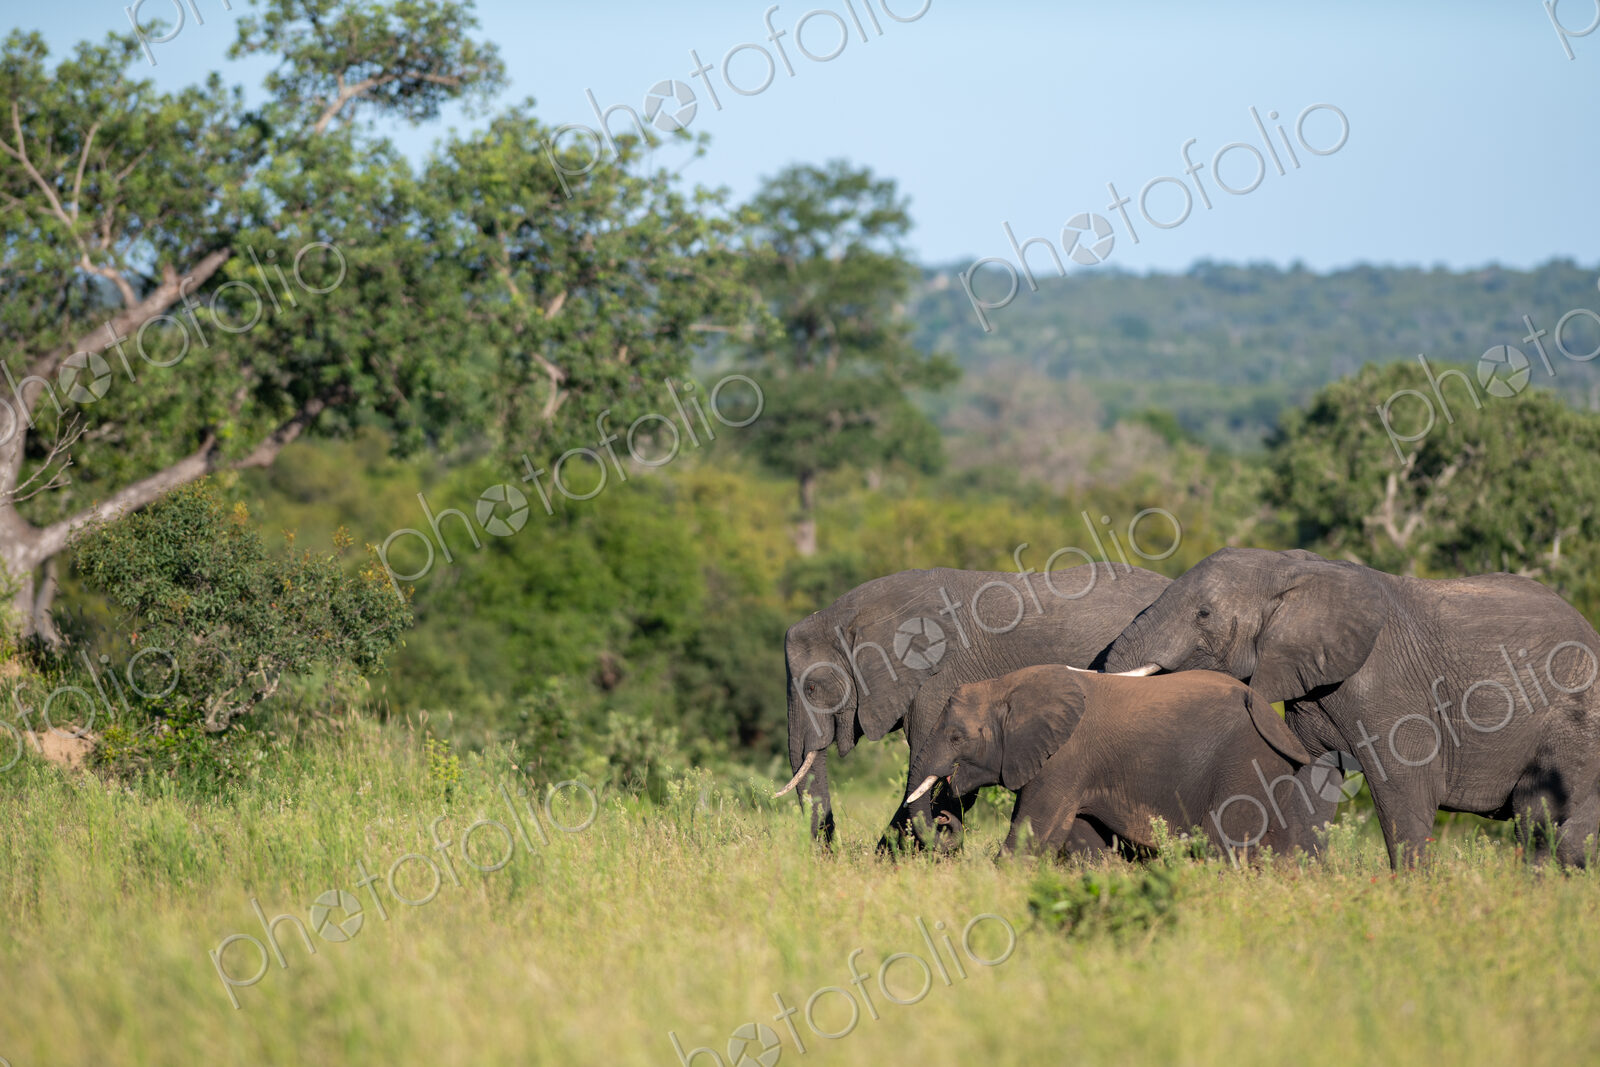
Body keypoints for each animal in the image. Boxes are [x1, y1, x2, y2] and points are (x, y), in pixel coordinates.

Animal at [905, 665, 1335, 860]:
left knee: (1225, 845)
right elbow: (1084, 841)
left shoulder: (1065, 758)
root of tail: (1266, 711)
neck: (1007, 685)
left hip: (1243, 762)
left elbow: (1033, 835)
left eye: (956, 737)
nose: (944, 816)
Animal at [1103, 546, 1600, 868]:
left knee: (1547, 819)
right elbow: (1307, 776)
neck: (1295, 571)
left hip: (1578, 719)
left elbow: (1405, 786)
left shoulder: (1390, 687)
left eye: (1203, 615)